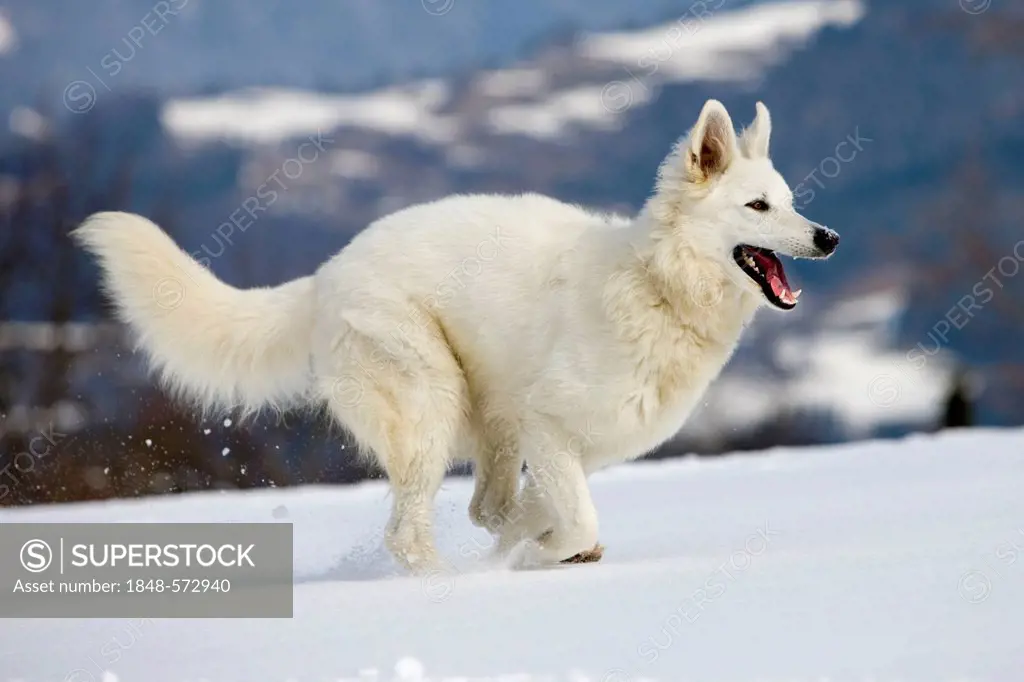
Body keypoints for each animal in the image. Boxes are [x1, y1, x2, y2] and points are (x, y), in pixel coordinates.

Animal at [74, 98, 839, 569]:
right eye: (758, 206)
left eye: (791, 203)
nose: (828, 238)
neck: (654, 283)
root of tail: (326, 274)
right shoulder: (547, 424)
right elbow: (575, 519)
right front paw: (544, 553)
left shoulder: (567, 441)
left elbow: (532, 509)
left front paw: (537, 543)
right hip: (429, 404)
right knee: (408, 535)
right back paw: (447, 586)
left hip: (486, 418)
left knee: (481, 506)